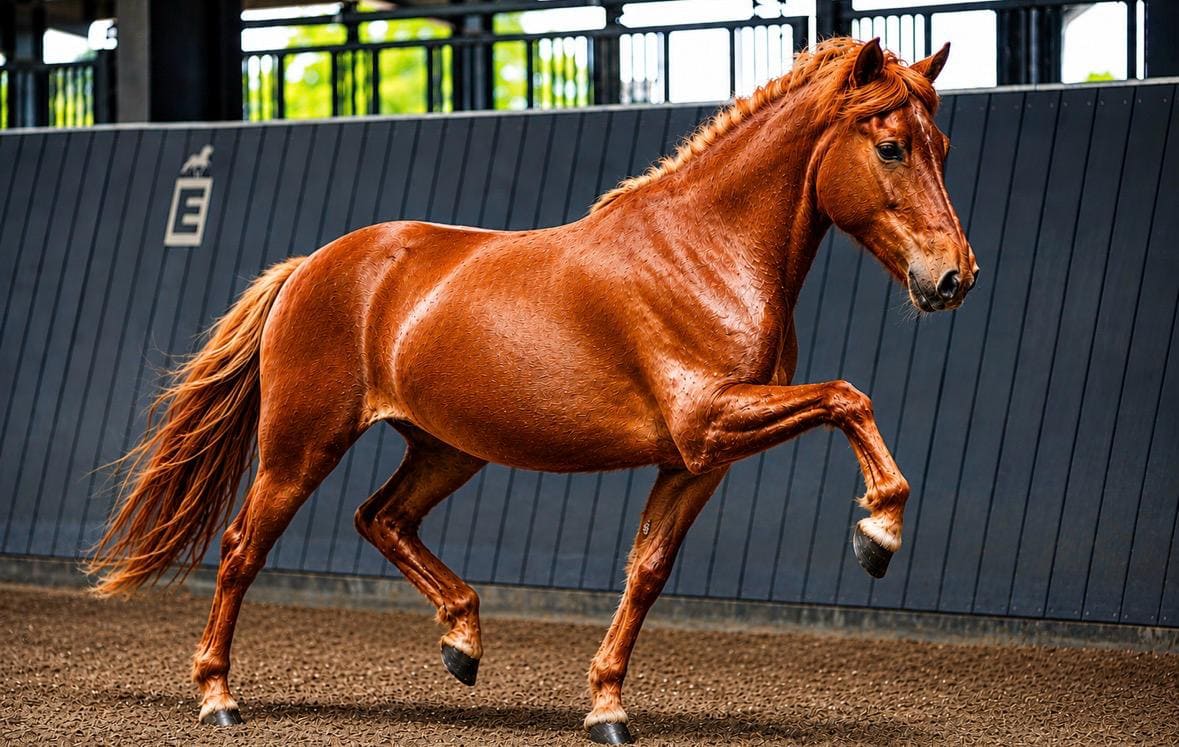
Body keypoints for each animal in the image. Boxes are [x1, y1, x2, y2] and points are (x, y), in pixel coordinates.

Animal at [87, 37, 976, 744]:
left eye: (942, 144)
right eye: (891, 147)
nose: (952, 278)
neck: (705, 251)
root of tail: (310, 266)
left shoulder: (698, 458)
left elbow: (647, 569)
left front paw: (607, 707)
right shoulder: (710, 419)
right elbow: (849, 397)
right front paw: (877, 533)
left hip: (447, 449)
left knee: (381, 517)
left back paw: (462, 640)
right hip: (302, 444)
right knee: (245, 546)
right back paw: (218, 696)